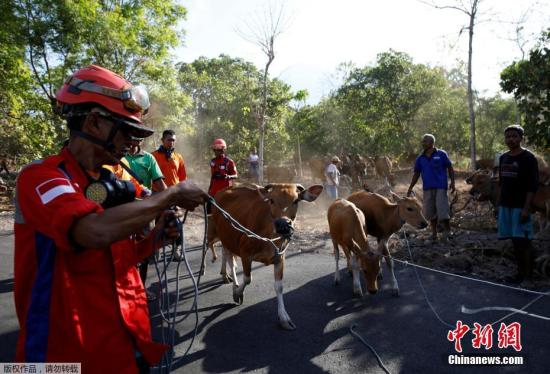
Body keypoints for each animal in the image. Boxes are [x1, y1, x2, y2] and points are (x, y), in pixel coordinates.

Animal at [210, 183, 326, 328]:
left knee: (229, 258)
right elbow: (247, 279)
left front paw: (284, 318)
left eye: (296, 200)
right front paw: (237, 293)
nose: (283, 224)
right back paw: (229, 279)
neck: (269, 237)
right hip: (224, 237)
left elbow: (279, 287)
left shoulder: (280, 258)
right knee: (229, 258)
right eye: (271, 200)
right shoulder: (245, 252)